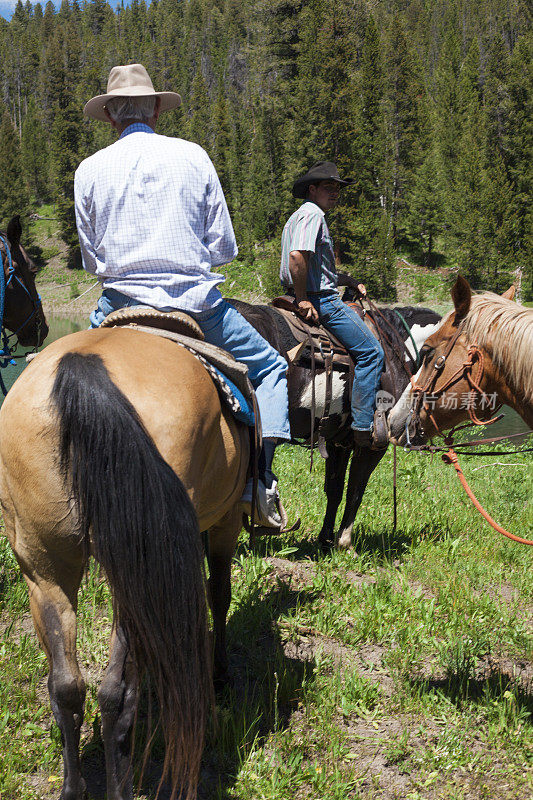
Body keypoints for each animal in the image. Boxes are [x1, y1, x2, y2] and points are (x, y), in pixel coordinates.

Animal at [0, 322, 249, 796]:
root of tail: (81, 365)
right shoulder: (226, 521)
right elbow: (219, 594)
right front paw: (222, 673)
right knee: (116, 694)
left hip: (45, 570)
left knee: (67, 686)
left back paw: (72, 788)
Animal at [230, 294, 440, 552]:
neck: (397, 350)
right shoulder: (372, 444)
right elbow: (355, 490)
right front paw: (345, 543)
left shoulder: (337, 441)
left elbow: (335, 490)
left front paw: (326, 539)